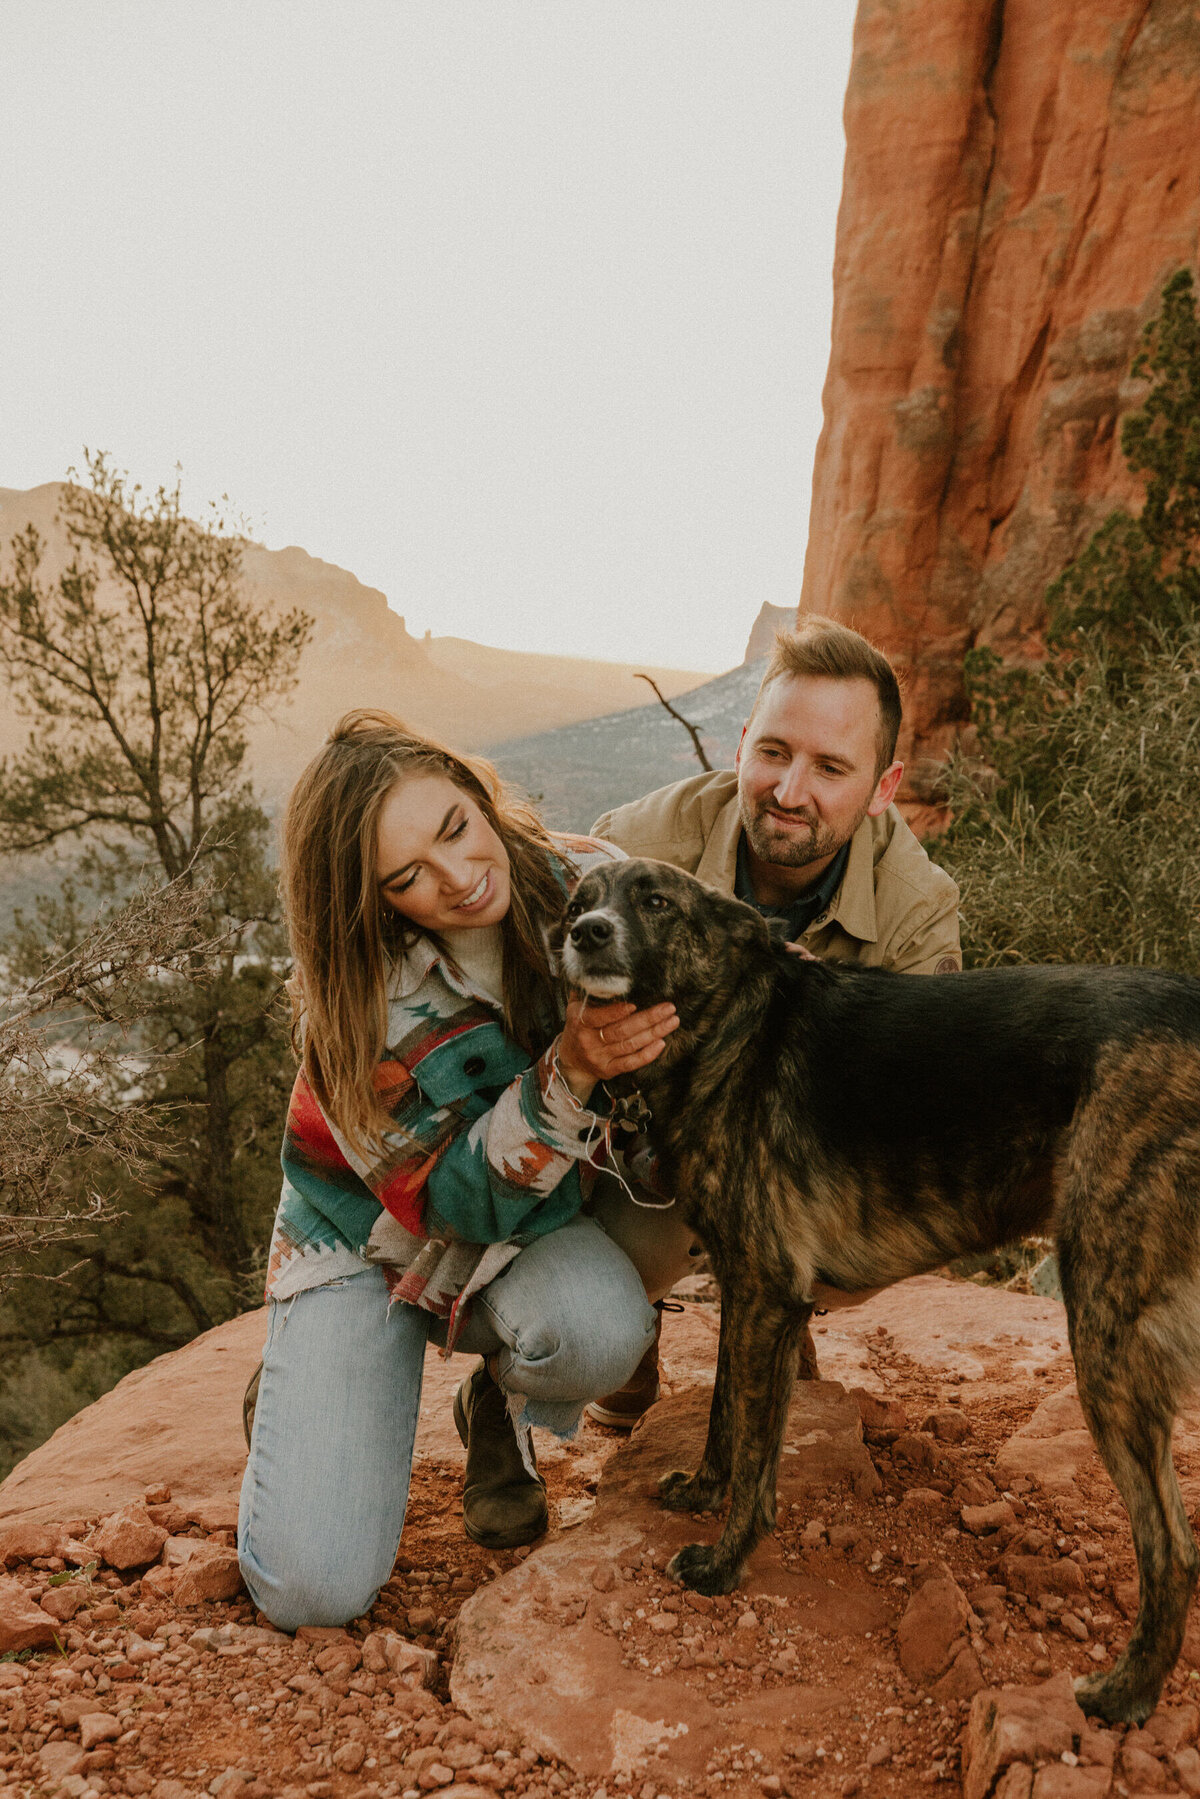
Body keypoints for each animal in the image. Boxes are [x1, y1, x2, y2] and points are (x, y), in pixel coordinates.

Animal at [557, 856, 1200, 1727]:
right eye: (577, 904)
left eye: (655, 900)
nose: (586, 935)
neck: (731, 1030)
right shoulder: (754, 1292)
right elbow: (725, 1413)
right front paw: (702, 1487)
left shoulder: (765, 1291)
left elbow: (755, 1450)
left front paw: (725, 1563)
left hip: (1107, 1327)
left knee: (1171, 1544)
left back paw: (1126, 1689)